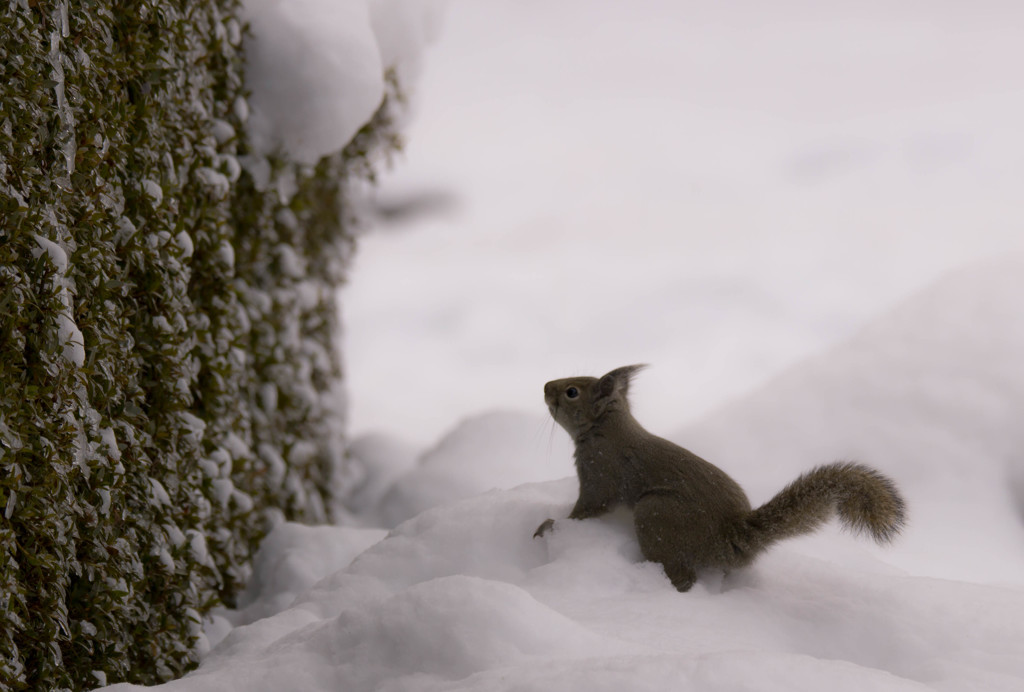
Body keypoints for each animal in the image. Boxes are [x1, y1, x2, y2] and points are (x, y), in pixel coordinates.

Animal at [532, 364, 909, 593]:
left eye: (571, 392)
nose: (546, 386)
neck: (606, 428)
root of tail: (732, 538)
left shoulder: (601, 473)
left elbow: (589, 508)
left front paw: (551, 527)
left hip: (656, 514)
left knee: (682, 576)